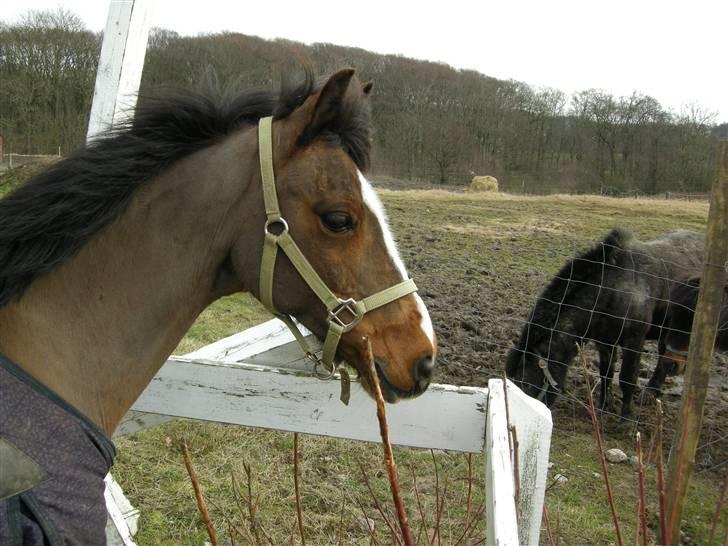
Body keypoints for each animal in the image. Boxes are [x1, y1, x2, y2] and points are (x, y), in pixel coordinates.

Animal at [505, 227, 703, 418]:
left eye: (526, 384)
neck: (612, 290)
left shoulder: (634, 340)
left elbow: (627, 378)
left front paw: (626, 418)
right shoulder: (605, 342)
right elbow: (606, 375)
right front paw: (602, 408)